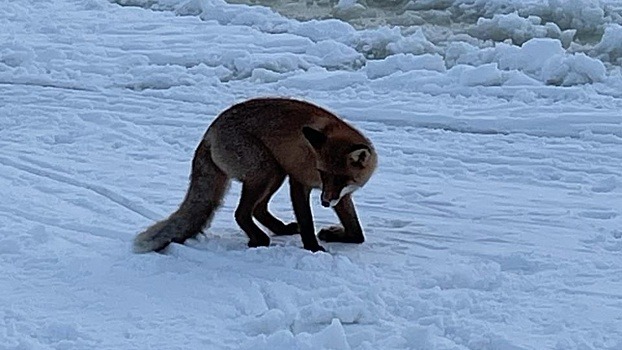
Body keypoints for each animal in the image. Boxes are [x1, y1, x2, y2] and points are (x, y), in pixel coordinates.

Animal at [135, 97, 380, 253]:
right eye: (322, 173)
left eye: (339, 178)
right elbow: (307, 221)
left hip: (275, 174)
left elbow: (357, 233)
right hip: (266, 171)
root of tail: (209, 133)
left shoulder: (341, 195)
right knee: (242, 213)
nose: (325, 203)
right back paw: (259, 239)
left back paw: (280, 230)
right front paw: (313, 248)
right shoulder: (298, 181)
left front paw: (336, 235)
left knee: (258, 209)